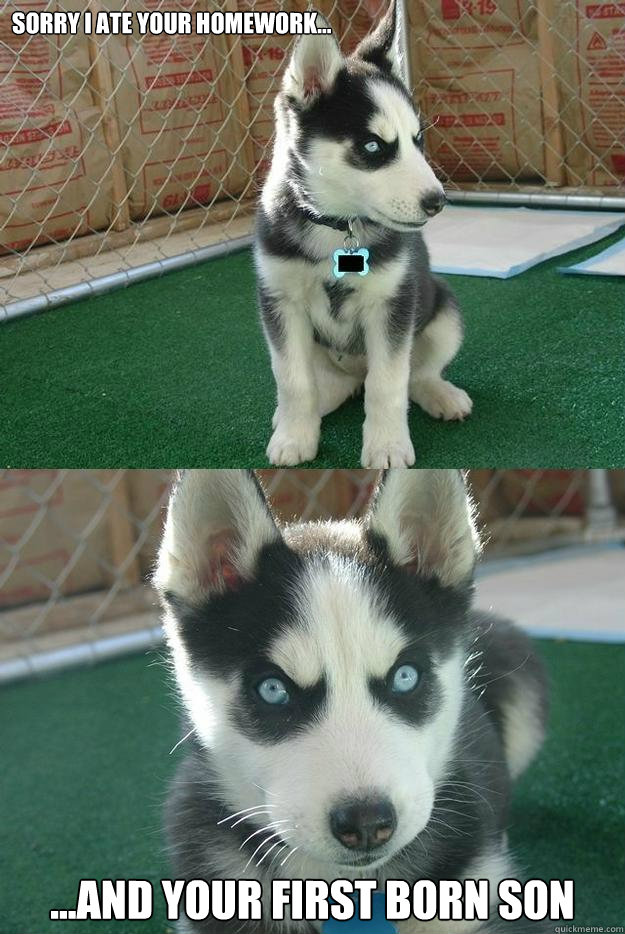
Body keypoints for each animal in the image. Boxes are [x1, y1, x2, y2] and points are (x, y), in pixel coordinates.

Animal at [256, 0, 470, 468]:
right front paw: (294, 437)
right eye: (373, 147)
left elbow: (388, 383)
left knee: (414, 374)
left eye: (417, 140)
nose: (438, 201)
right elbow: (292, 379)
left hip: (443, 311)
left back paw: (440, 394)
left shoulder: (392, 305)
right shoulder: (280, 302)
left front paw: (387, 445)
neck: (338, 226)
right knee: (327, 385)